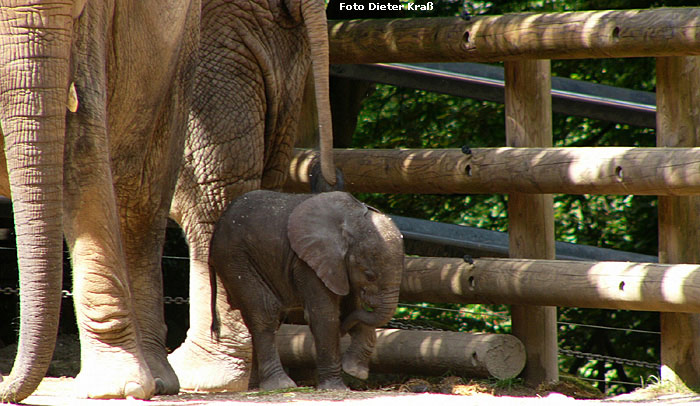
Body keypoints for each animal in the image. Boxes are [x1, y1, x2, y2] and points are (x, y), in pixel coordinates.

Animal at [0, 0, 202, 400]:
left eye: (77, 6)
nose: (6, 391)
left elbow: (83, 140)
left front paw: (116, 388)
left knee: (141, 202)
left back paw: (156, 381)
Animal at [208, 190, 404, 390]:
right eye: (369, 275)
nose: (343, 331)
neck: (351, 219)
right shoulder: (308, 262)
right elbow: (325, 315)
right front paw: (335, 387)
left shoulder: (339, 267)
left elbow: (351, 308)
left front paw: (355, 370)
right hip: (234, 259)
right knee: (266, 311)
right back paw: (281, 385)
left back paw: (257, 388)